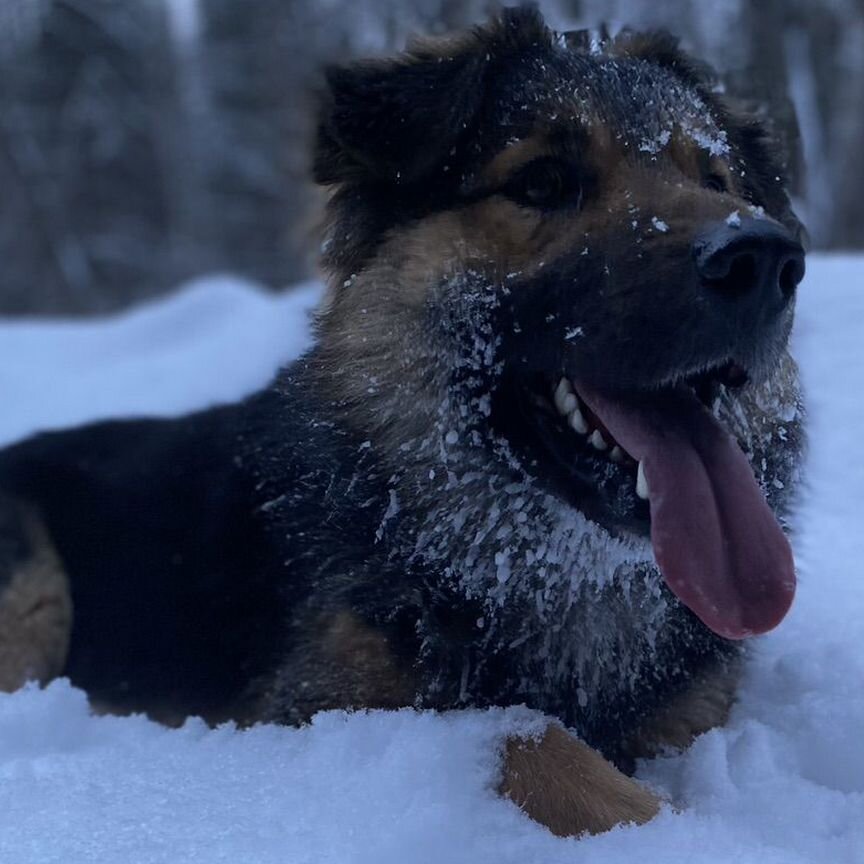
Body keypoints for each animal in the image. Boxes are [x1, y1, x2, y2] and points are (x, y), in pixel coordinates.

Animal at [1, 6, 808, 840]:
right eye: (543, 182)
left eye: (714, 180)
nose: (763, 259)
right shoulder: (324, 706)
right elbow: (524, 740)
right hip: (31, 588)